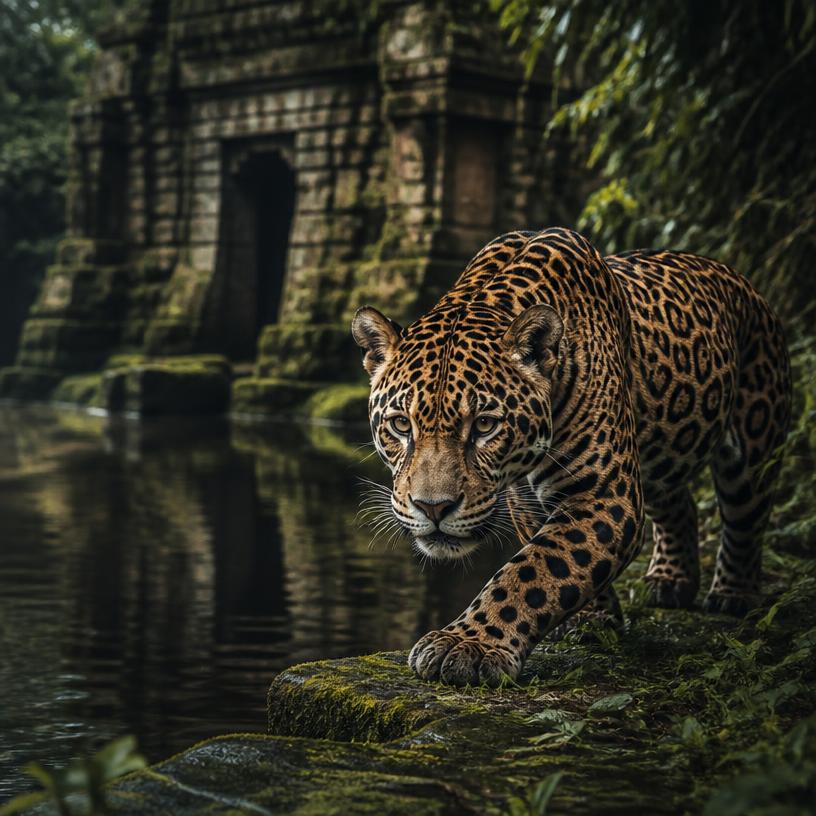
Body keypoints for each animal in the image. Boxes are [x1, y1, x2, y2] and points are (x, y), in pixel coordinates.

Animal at [351, 227, 792, 687]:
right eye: (401, 425)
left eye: (485, 425)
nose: (433, 508)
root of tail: (737, 276)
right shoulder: (527, 498)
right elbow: (558, 563)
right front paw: (592, 620)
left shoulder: (605, 494)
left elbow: (532, 570)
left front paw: (470, 644)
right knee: (677, 501)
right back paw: (671, 581)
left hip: (754, 443)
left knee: (746, 517)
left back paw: (733, 595)